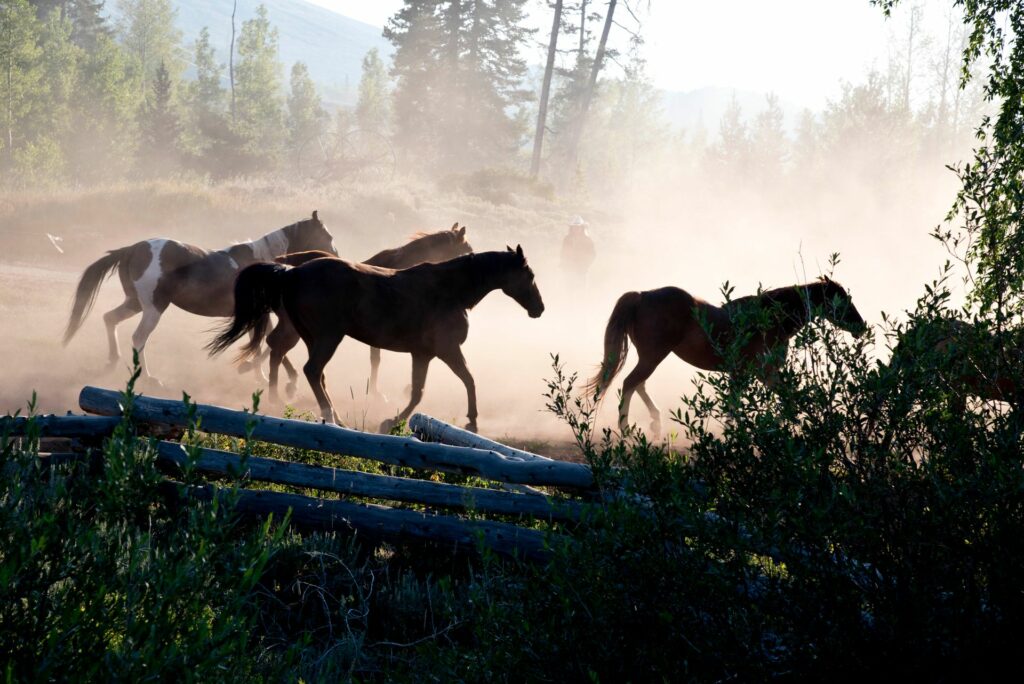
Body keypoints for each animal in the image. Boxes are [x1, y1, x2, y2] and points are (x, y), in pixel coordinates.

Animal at [62, 210, 335, 382]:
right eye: (327, 236)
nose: (334, 255)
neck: (263, 263)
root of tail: (132, 249)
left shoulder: (257, 316)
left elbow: (261, 343)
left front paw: (262, 375)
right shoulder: (260, 315)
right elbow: (265, 343)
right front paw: (262, 373)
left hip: (135, 303)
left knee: (110, 319)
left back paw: (112, 361)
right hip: (153, 308)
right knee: (139, 338)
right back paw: (148, 378)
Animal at [207, 246, 544, 432]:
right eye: (529, 276)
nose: (539, 309)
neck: (449, 290)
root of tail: (291, 272)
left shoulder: (422, 354)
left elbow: (418, 392)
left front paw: (391, 421)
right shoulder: (447, 349)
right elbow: (468, 380)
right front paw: (472, 420)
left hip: (311, 337)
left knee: (308, 370)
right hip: (328, 337)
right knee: (310, 370)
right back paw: (327, 415)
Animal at [260, 222, 475, 401]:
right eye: (467, 250)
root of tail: (287, 271)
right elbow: (376, 359)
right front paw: (377, 393)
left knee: (274, 345)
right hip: (297, 328)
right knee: (277, 346)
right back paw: (281, 390)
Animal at [589, 276, 868, 432]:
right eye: (843, 300)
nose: (861, 327)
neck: (770, 321)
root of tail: (642, 296)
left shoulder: (755, 374)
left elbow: (776, 400)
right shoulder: (761, 372)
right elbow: (779, 401)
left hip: (651, 357)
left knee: (638, 384)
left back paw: (655, 423)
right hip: (653, 357)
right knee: (630, 383)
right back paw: (626, 428)